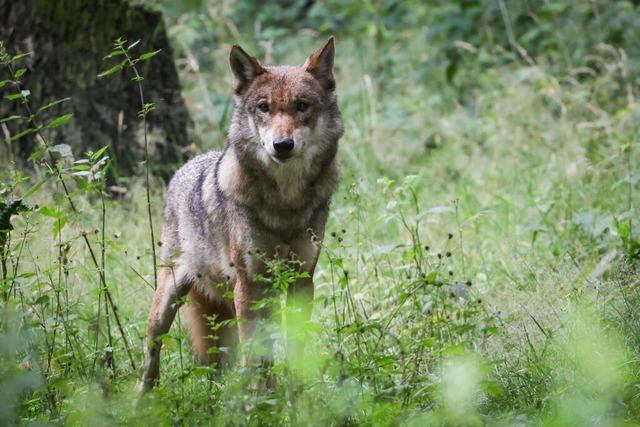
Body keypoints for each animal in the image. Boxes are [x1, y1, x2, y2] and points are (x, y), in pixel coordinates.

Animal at [136, 38, 344, 392]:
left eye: (302, 106)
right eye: (264, 107)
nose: (282, 145)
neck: (285, 203)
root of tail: (185, 167)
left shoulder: (302, 280)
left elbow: (295, 348)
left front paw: (296, 395)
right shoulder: (249, 284)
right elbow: (255, 354)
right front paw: (261, 398)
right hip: (168, 301)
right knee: (151, 354)